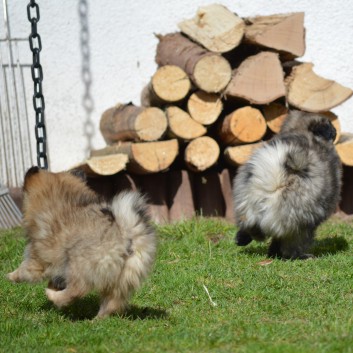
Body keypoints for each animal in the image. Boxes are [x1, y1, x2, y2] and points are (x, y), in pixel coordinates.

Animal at [6, 166, 155, 318]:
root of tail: (126, 232)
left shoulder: (37, 258)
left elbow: (25, 270)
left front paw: (11, 276)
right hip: (123, 276)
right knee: (112, 301)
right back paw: (98, 319)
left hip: (78, 263)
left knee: (78, 289)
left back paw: (56, 297)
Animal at [234, 108, 340, 258]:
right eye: (330, 125)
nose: (335, 131)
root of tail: (274, 183)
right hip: (303, 223)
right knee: (292, 243)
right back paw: (301, 256)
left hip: (247, 210)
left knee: (251, 229)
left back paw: (243, 240)